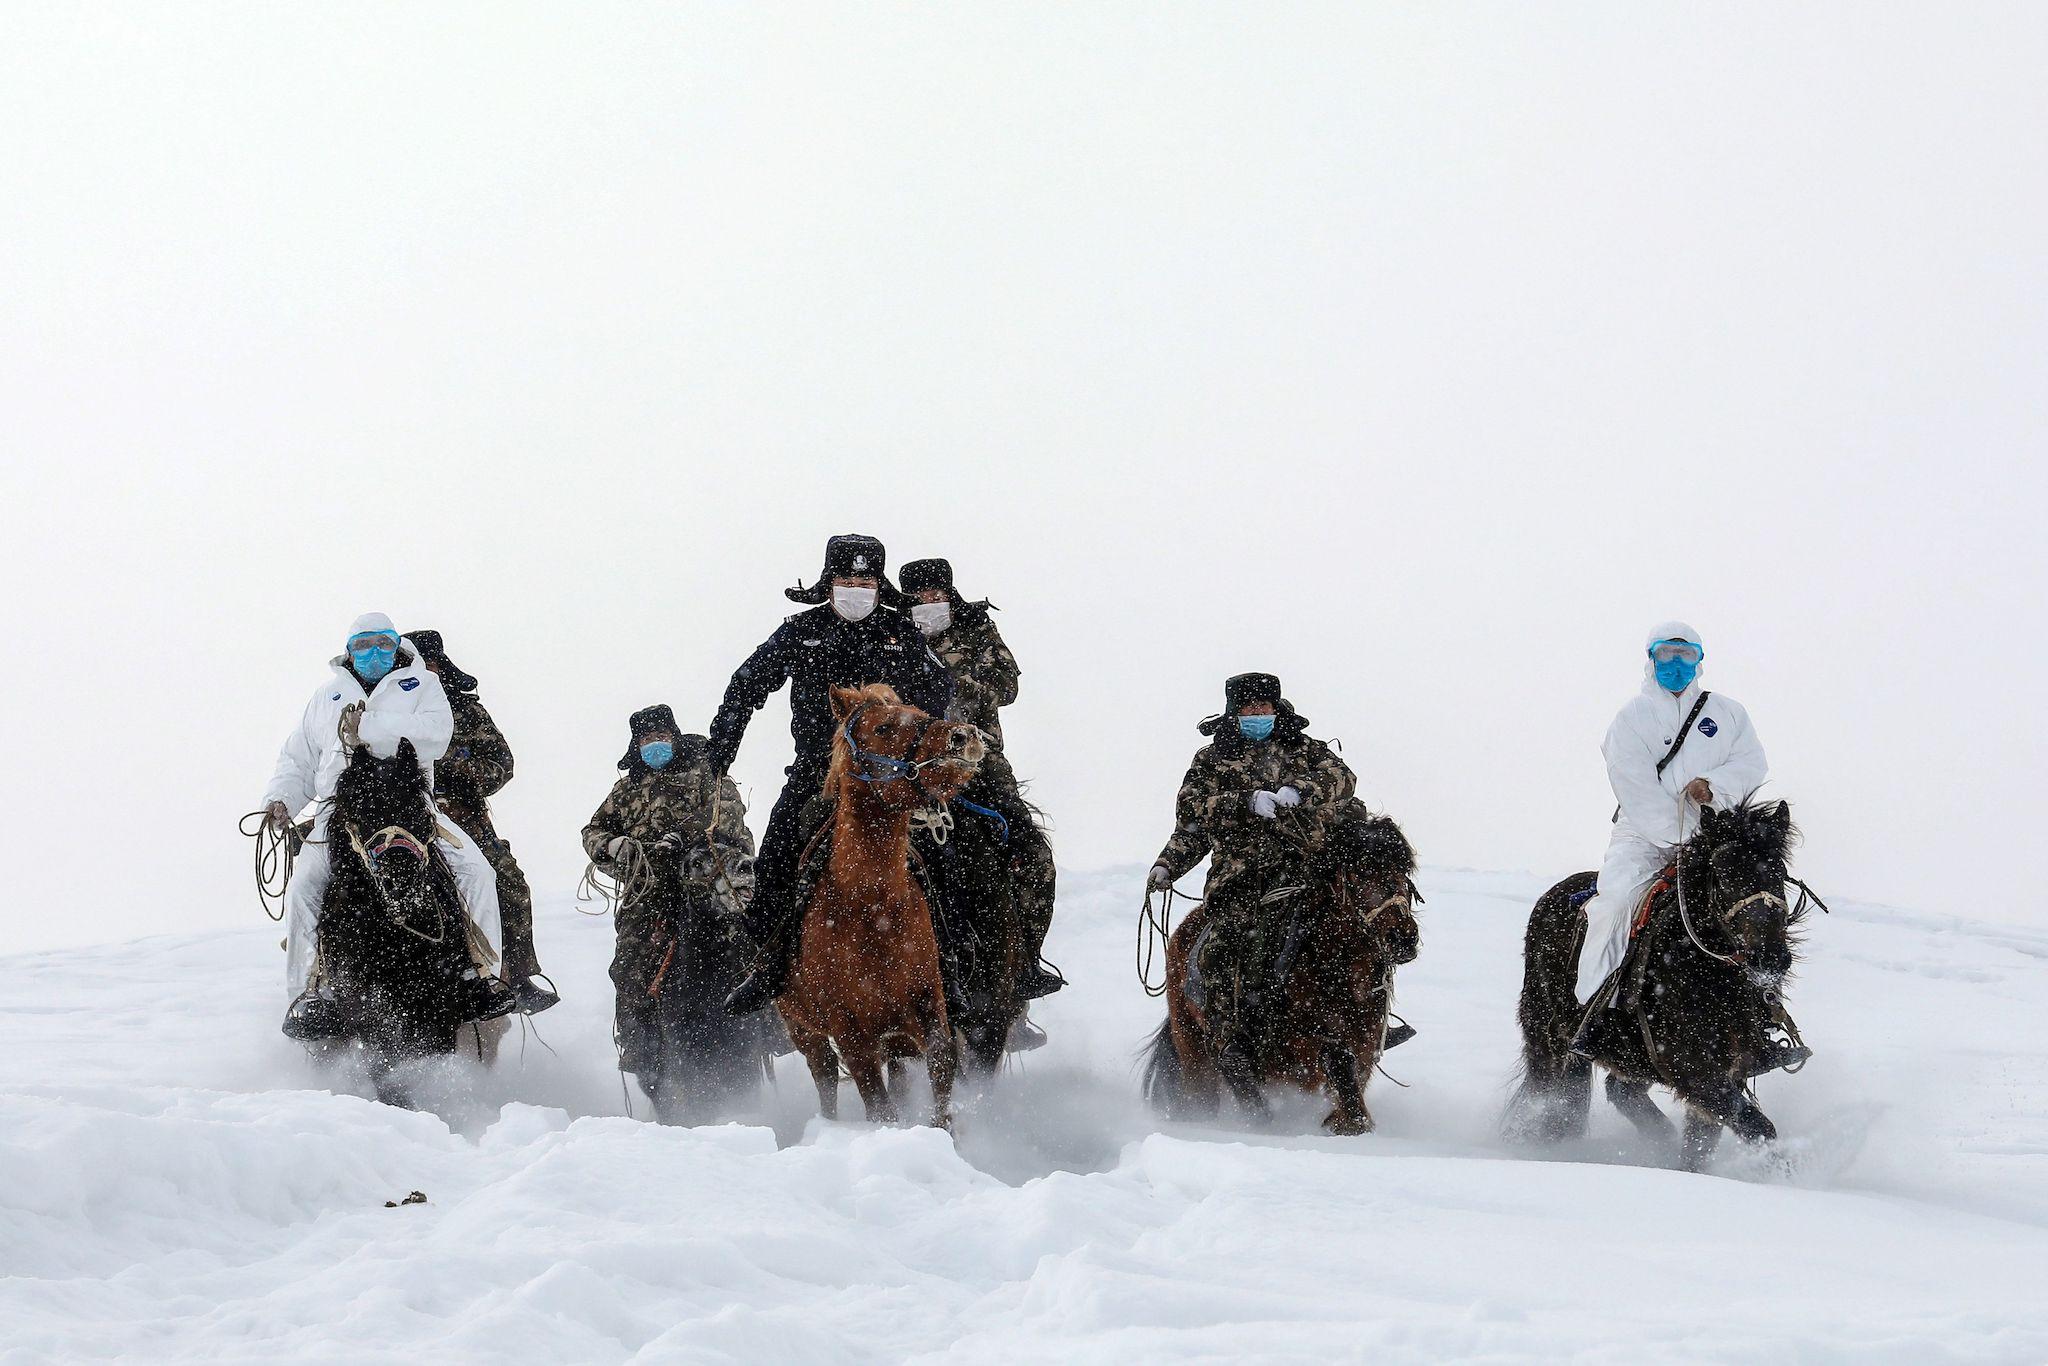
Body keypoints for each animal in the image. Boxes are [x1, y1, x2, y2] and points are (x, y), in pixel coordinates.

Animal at [315, 737, 475, 1114]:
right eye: (363, 812)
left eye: (415, 809)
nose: (401, 879)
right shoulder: (363, 1006)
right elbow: (384, 1062)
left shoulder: (439, 1003)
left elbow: (430, 1055)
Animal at [774, 684, 983, 1130]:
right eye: (884, 726)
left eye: (918, 709)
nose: (964, 736)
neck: (872, 906)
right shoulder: (851, 1033)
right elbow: (878, 1104)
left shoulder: (927, 1005)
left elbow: (942, 1072)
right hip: (803, 1030)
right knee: (825, 1080)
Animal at [1138, 806, 1425, 1138]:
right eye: (1359, 872)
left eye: (1404, 871)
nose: (1402, 937)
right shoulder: (1303, 1046)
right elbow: (1338, 1065)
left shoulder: (1364, 1045)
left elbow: (1350, 1089)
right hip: (1195, 1052)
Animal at [1515, 802, 1818, 1179]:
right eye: (1723, 875)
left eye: (1778, 871)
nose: (1770, 958)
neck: (1706, 975)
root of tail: (1550, 897)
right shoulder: (1694, 1072)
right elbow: (1755, 1125)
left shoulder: (1726, 1073)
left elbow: (1702, 1144)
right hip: (1548, 1040)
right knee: (1552, 1100)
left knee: (1619, 1091)